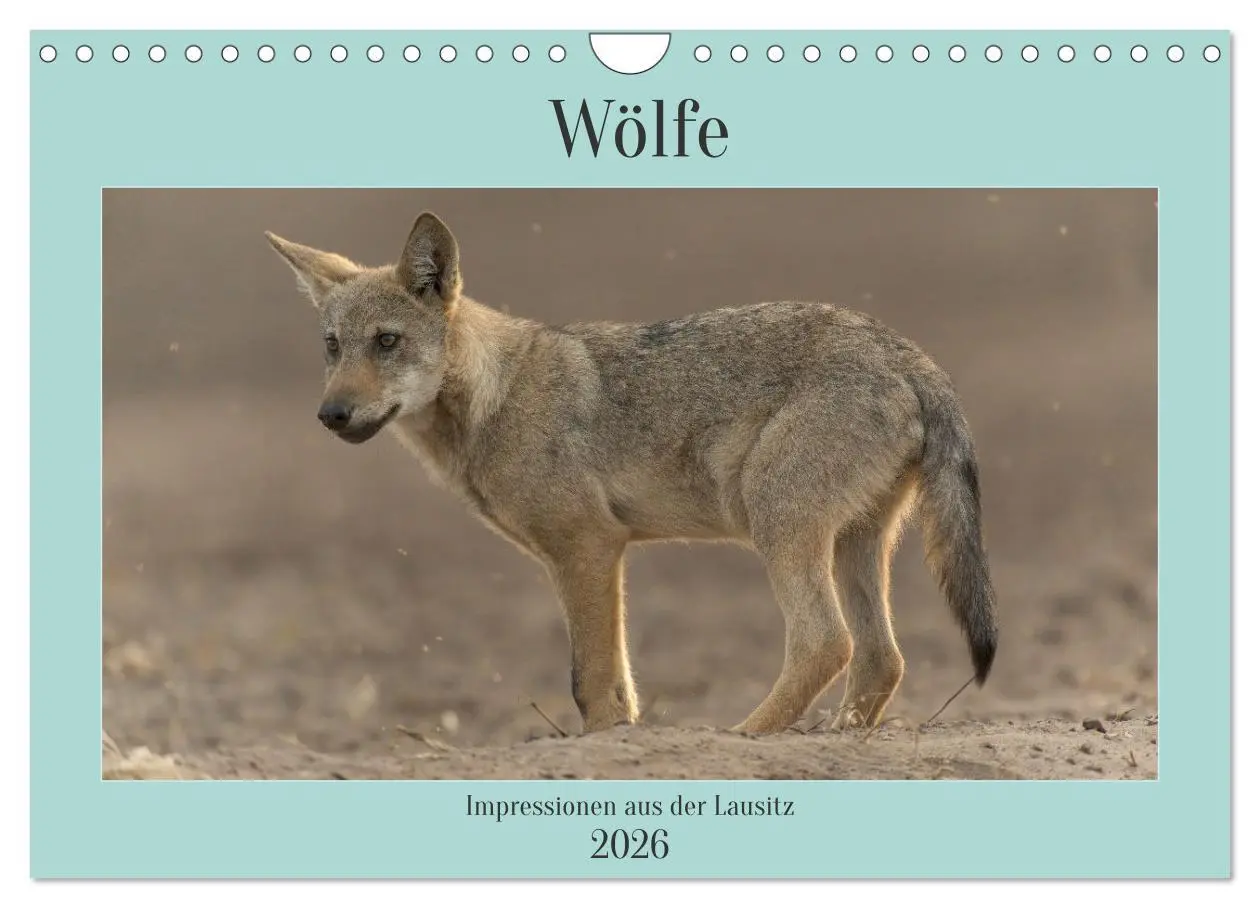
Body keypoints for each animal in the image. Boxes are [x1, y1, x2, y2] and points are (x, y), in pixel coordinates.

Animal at [264, 211, 998, 735]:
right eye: (333, 346)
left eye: (387, 342)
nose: (331, 414)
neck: (495, 397)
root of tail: (910, 354)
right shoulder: (590, 555)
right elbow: (613, 683)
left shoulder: (588, 548)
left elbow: (589, 680)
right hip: (855, 543)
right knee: (881, 660)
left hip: (780, 525)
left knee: (827, 643)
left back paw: (742, 737)